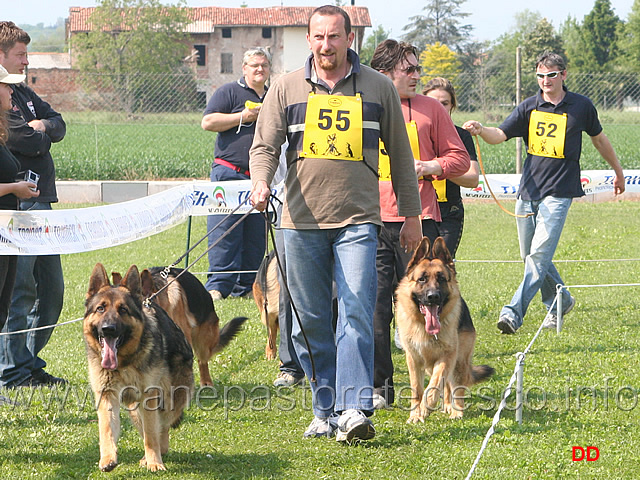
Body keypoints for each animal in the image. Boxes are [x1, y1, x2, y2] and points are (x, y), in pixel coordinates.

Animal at [85, 264, 195, 470]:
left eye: (123, 310)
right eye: (100, 308)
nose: (108, 329)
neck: (124, 363)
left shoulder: (148, 398)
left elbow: (152, 434)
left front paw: (154, 462)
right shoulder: (107, 396)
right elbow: (107, 429)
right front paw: (108, 458)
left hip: (170, 400)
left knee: (162, 428)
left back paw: (157, 453)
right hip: (134, 409)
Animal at [396, 238, 496, 422]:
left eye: (441, 279)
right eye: (422, 279)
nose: (433, 296)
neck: (423, 327)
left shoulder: (447, 356)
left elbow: (435, 384)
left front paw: (426, 406)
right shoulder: (414, 360)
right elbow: (417, 390)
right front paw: (416, 414)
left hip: (459, 362)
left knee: (454, 387)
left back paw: (455, 410)